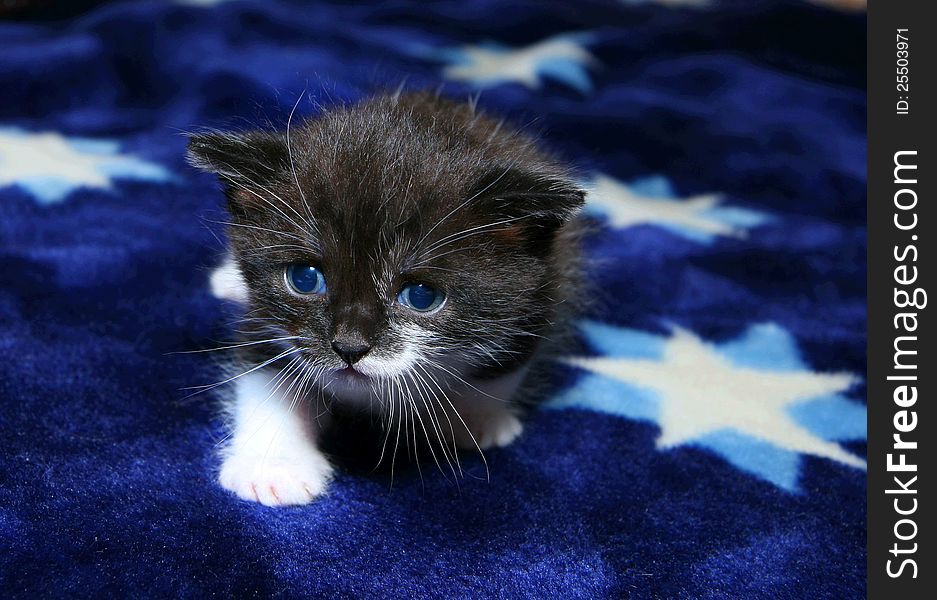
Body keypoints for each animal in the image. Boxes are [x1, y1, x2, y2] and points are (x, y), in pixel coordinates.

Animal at [188, 92, 584, 506]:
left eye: (422, 297)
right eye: (304, 279)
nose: (349, 347)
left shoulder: (539, 296)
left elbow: (500, 373)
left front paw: (475, 421)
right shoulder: (267, 319)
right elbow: (267, 375)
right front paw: (273, 467)